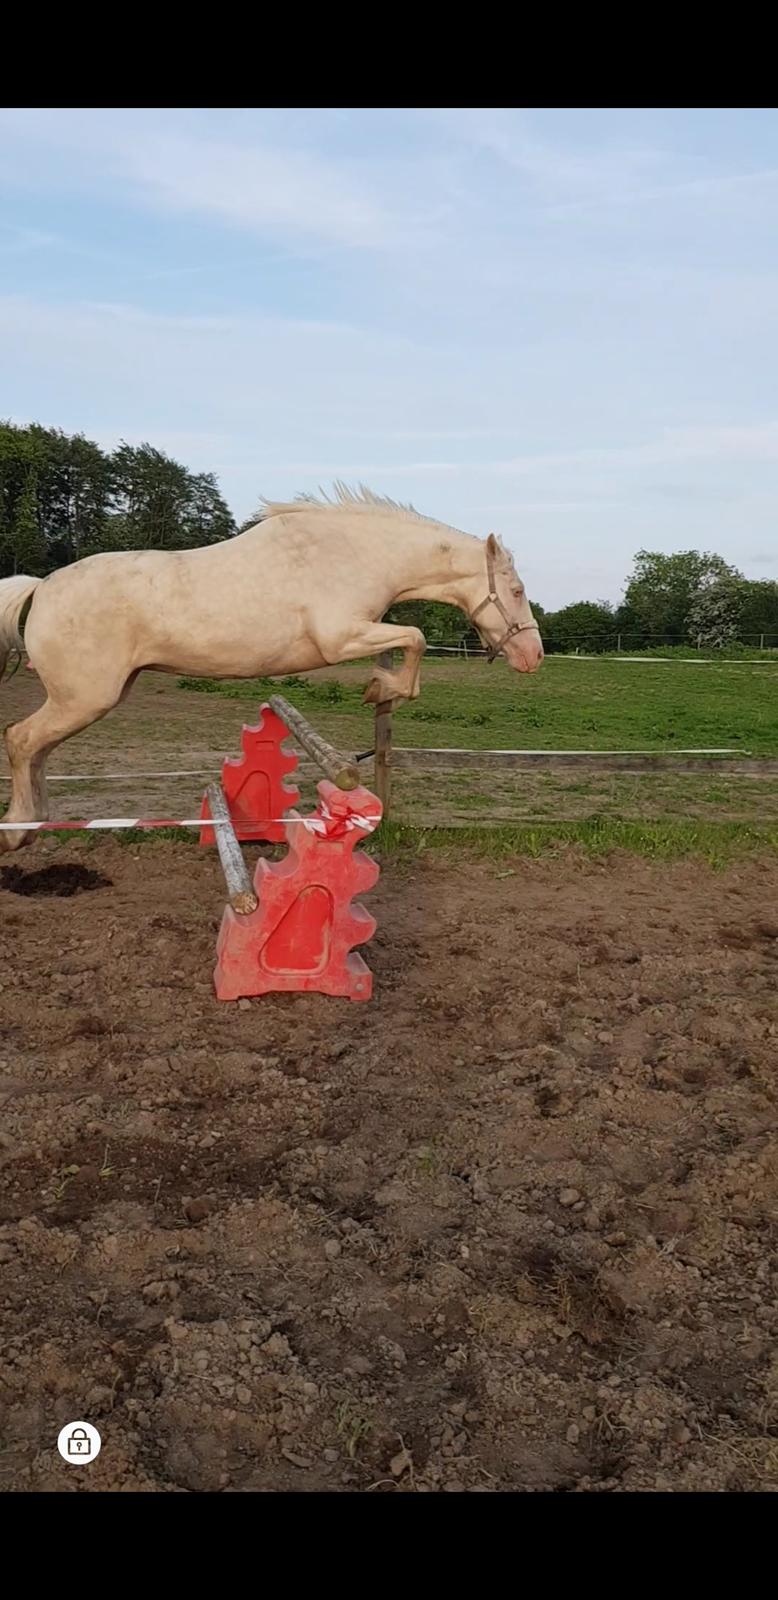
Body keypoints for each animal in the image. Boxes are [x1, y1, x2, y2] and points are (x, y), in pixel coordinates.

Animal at [0, 483, 541, 851]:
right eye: (516, 591)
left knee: (36, 749)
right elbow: (416, 637)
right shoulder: (340, 637)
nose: (533, 656)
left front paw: (381, 687)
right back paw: (17, 831)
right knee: (22, 740)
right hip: (85, 698)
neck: (356, 553)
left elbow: (411, 642)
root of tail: (42, 586)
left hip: (91, 697)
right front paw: (379, 687)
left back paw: (33, 825)